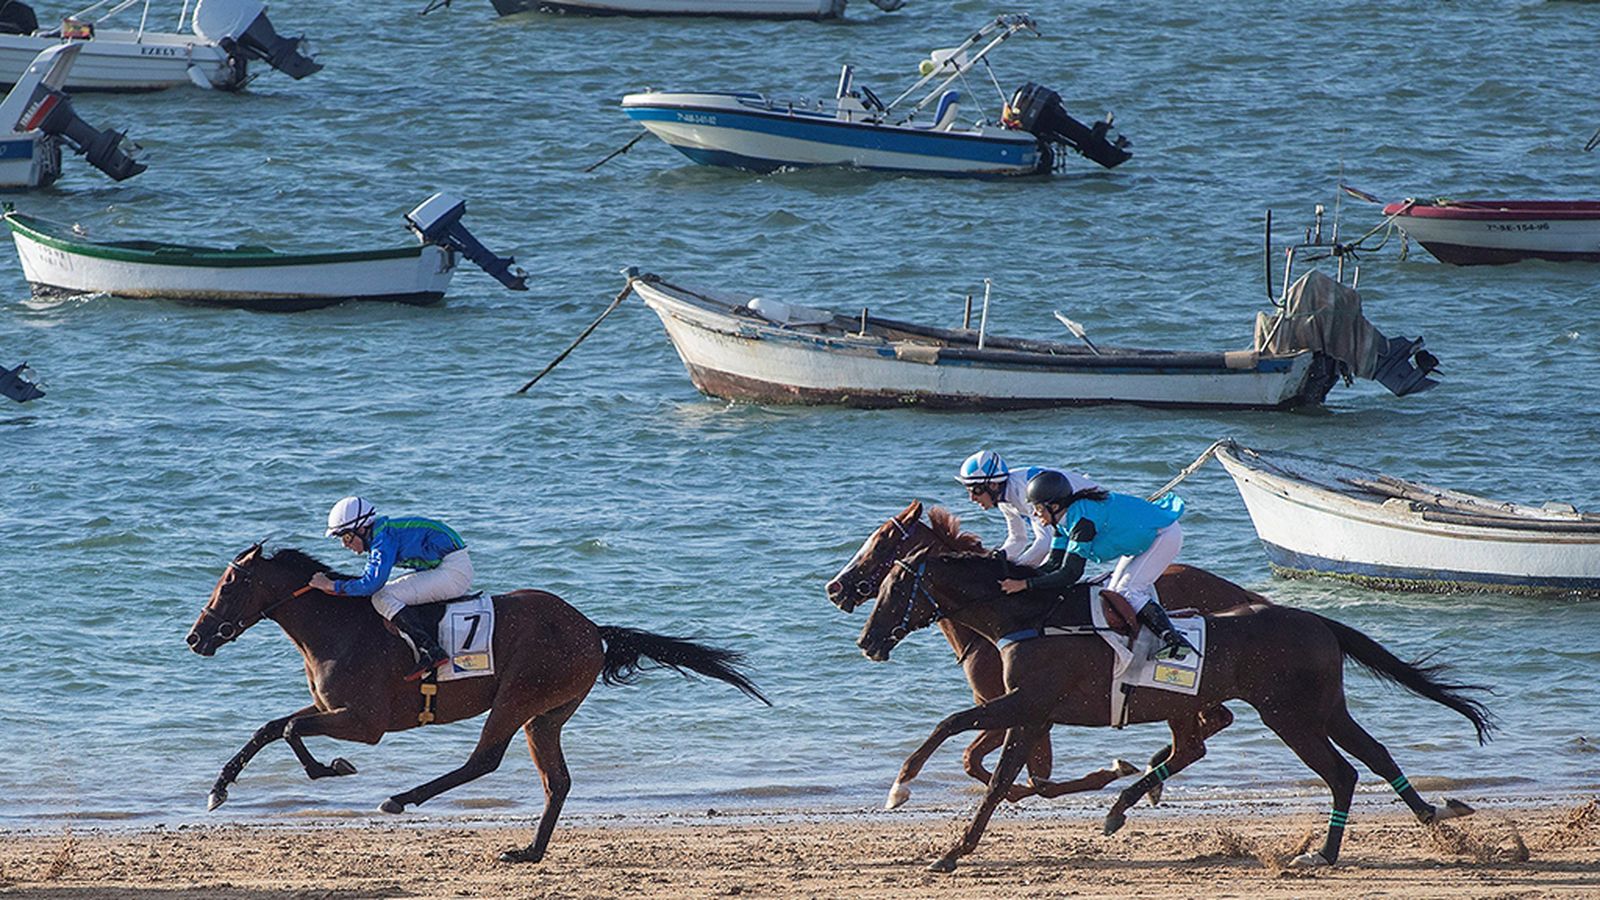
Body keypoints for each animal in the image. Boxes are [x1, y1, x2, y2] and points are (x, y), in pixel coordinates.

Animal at [186, 543, 770, 864]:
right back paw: (530, 851)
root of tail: (591, 629)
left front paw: (330, 768)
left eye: (230, 583)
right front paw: (219, 790)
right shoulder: (335, 712)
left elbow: (285, 729)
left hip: (520, 694)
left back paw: (401, 798)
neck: (337, 629)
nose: (196, 638)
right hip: (546, 714)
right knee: (556, 781)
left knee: (484, 759)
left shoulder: (365, 722)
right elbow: (270, 727)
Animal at [825, 500, 1263, 799]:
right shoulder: (1017, 707)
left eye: (879, 544)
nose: (835, 587)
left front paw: (1110, 770)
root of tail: (1242, 593)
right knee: (1211, 724)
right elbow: (995, 767)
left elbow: (1014, 771)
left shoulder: (1024, 707)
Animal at [860, 545, 1490, 873]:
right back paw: (1432, 816)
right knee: (1372, 755)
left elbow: (956, 731)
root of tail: (1317, 621)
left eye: (892, 585)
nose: (867, 641)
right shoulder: (1031, 714)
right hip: (1322, 708)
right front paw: (951, 845)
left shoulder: (1028, 703)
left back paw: (1324, 854)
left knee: (1341, 771)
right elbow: (995, 775)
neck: (1029, 616)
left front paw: (907, 796)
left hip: (1289, 715)